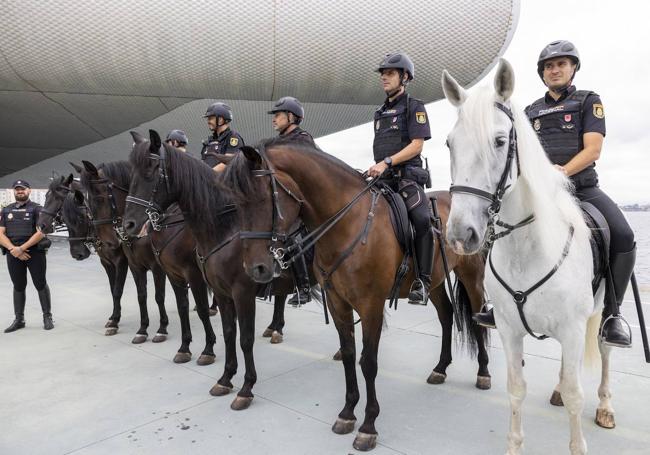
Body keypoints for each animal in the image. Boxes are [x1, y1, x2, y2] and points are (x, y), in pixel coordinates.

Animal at [219, 140, 486, 452]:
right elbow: (348, 355)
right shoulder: (338, 303)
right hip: (434, 283)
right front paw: (347, 413)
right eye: (236, 203)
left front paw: (368, 426)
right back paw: (441, 368)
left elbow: (368, 362)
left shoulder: (370, 305)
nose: (256, 269)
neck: (346, 224)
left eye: (262, 198)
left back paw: (484, 372)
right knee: (446, 316)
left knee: (478, 319)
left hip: (472, 274)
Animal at [438, 58, 612, 454]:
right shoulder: (509, 329)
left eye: (501, 141)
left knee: (605, 349)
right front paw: (515, 445)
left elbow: (578, 396)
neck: (527, 250)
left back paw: (606, 405)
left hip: (601, 311)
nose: (460, 235)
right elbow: (516, 389)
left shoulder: (573, 328)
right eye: (450, 143)